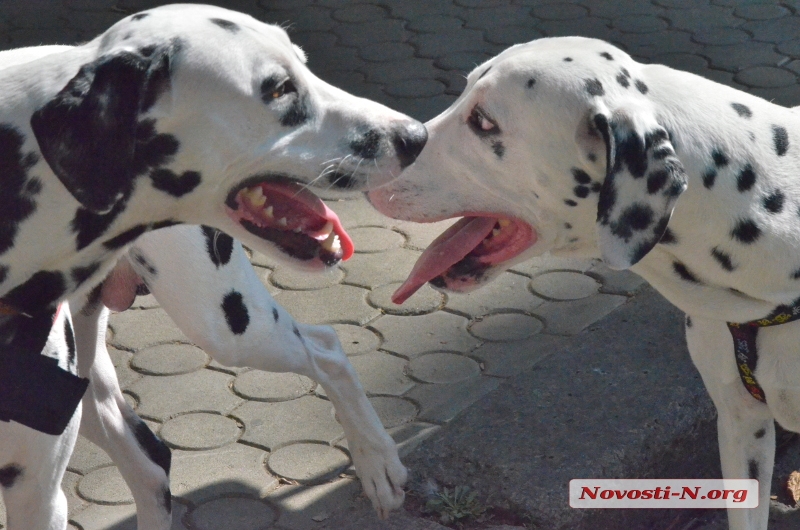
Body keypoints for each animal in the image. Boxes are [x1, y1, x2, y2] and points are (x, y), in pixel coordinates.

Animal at [1, 5, 424, 528]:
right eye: (280, 88)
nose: (416, 136)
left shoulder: (39, 496)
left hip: (226, 323)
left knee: (325, 349)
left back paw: (377, 461)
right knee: (148, 467)